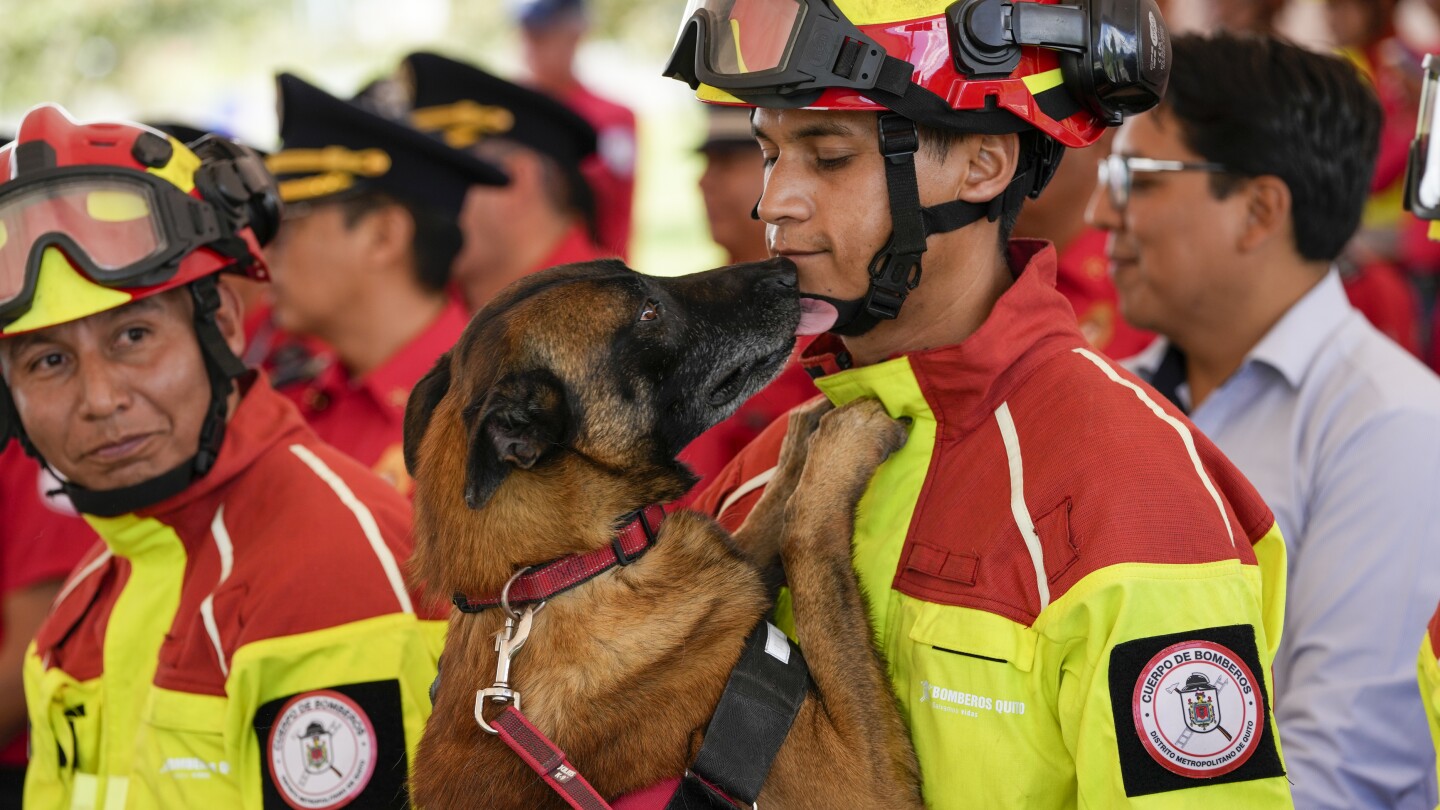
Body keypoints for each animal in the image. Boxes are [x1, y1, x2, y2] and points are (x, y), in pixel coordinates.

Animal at [406, 259, 921, 807]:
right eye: (648, 313)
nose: (784, 269)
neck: (569, 568)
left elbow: (765, 521)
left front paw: (799, 443)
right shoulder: (861, 779)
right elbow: (805, 534)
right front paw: (845, 442)